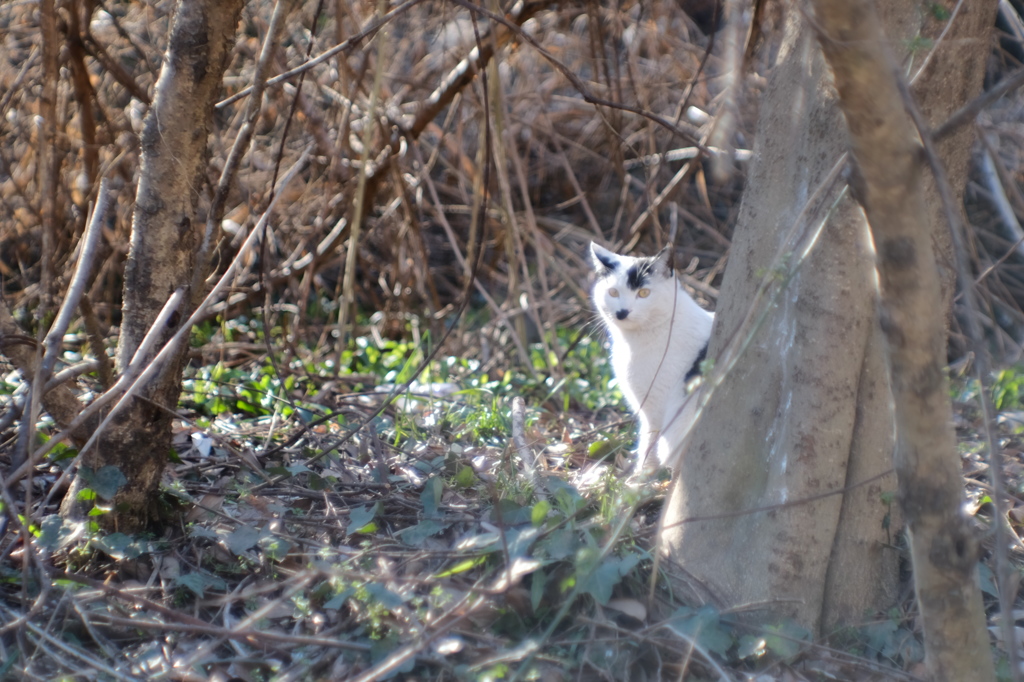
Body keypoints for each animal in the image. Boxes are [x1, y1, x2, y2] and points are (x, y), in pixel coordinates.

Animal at [589, 241, 716, 471]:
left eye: (644, 293)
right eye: (613, 292)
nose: (622, 312)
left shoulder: (655, 405)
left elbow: (649, 441)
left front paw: (641, 475)